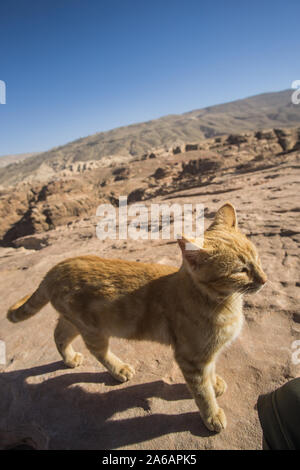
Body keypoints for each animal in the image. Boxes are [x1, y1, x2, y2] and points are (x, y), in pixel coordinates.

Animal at [7, 202, 266, 434]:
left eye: (256, 257)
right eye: (240, 271)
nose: (264, 280)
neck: (224, 303)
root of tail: (56, 267)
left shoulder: (206, 353)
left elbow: (210, 372)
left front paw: (215, 383)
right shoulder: (190, 357)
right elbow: (202, 393)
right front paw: (212, 415)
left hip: (72, 321)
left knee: (59, 335)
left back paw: (69, 359)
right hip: (92, 328)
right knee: (98, 351)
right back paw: (119, 369)